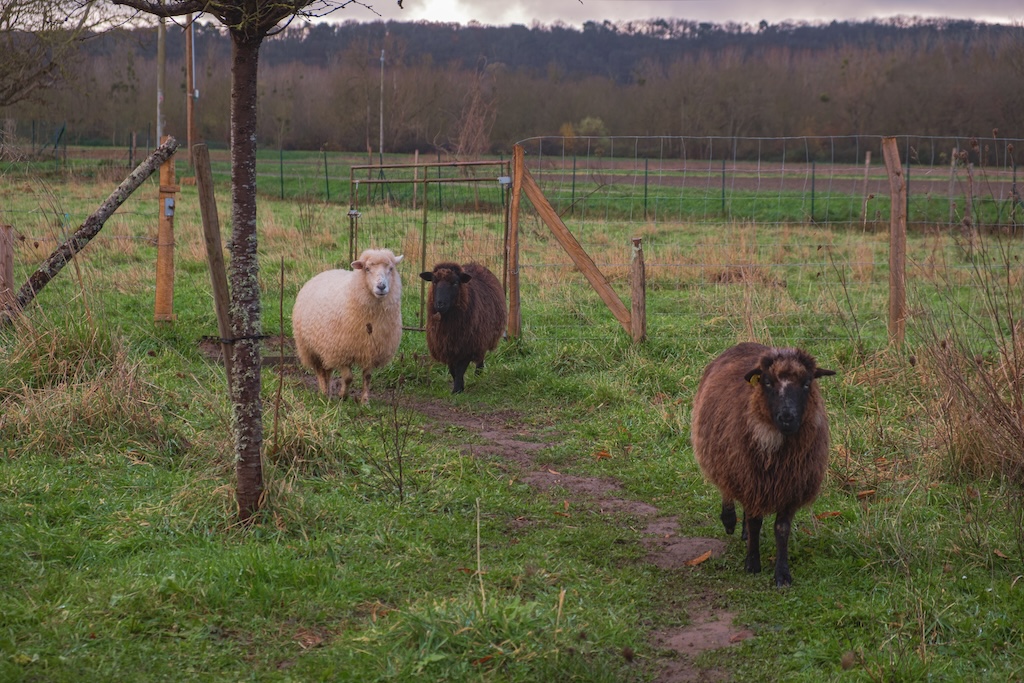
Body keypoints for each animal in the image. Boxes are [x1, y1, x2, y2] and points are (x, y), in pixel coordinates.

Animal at [292, 248, 403, 403]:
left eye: (391, 269)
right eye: (367, 269)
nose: (381, 286)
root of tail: (326, 272)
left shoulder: (370, 349)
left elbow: (367, 377)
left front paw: (365, 401)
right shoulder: (341, 350)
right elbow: (348, 377)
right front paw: (343, 395)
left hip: (323, 346)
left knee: (327, 371)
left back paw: (328, 391)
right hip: (310, 348)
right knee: (320, 371)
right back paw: (324, 392)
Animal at [419, 262, 507, 393]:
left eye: (455, 283)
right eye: (434, 281)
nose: (440, 304)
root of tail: (474, 264)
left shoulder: (467, 346)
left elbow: (460, 369)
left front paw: (457, 390)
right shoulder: (447, 346)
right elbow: (452, 370)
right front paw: (460, 385)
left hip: (482, 336)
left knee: (481, 356)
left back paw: (478, 374)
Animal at [692, 342, 835, 589]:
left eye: (807, 383)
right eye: (767, 382)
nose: (787, 417)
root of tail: (745, 344)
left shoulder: (791, 488)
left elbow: (781, 529)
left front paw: (782, 574)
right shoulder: (750, 478)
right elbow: (755, 522)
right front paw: (752, 563)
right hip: (725, 459)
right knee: (726, 489)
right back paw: (730, 521)